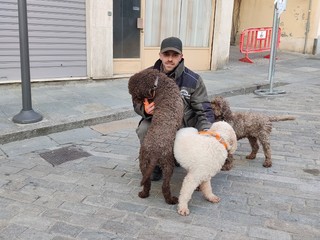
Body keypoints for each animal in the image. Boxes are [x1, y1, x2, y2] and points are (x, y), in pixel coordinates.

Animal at [127, 69, 182, 204]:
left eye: (136, 95)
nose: (135, 103)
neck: (159, 83)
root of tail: (154, 152)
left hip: (143, 162)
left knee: (147, 182)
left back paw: (144, 194)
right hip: (168, 165)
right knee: (165, 186)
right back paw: (171, 200)